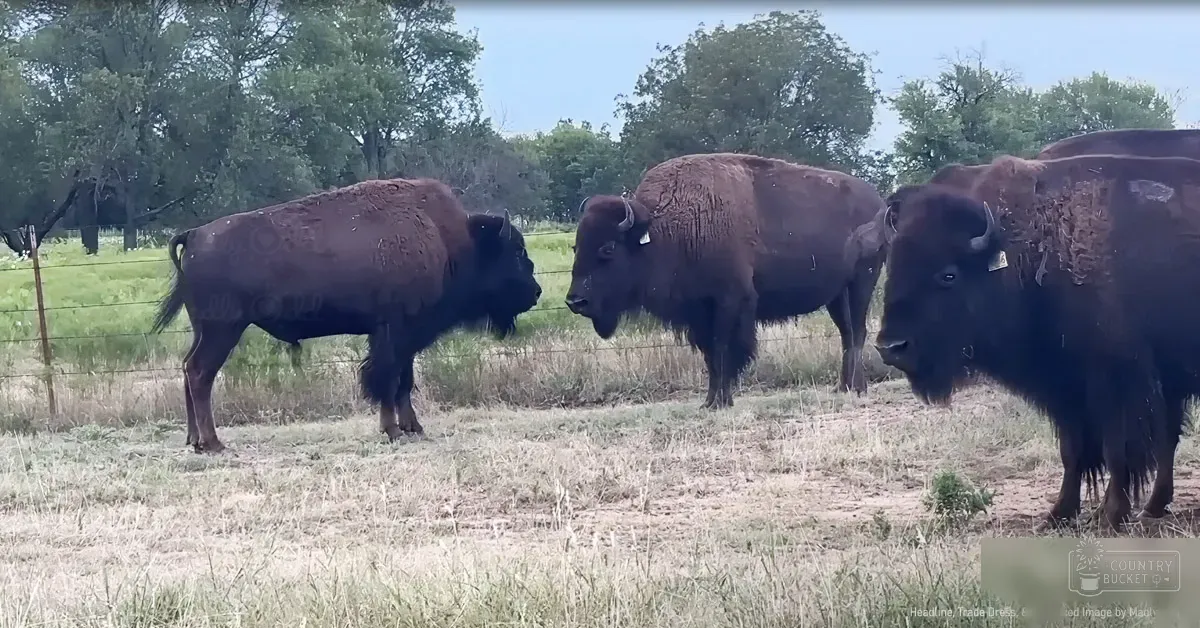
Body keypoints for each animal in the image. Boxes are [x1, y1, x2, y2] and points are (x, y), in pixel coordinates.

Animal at [150, 178, 542, 453]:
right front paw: (393, 430)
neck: (449, 242)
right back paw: (213, 443)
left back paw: (195, 441)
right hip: (223, 329)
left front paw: (413, 427)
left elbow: (404, 381)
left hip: (203, 329)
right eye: (515, 251)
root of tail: (195, 234)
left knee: (187, 369)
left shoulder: (403, 337)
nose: (536, 292)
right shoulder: (394, 332)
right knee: (200, 373)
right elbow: (386, 379)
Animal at [564, 152, 888, 409]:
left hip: (862, 281)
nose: (575, 300)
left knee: (857, 332)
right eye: (576, 247)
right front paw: (710, 402)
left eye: (608, 249)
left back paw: (857, 388)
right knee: (847, 333)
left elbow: (722, 350)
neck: (663, 229)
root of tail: (879, 204)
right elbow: (710, 355)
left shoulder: (728, 302)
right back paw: (844, 387)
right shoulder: (699, 312)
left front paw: (721, 401)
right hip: (837, 295)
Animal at [849, 152, 1200, 530]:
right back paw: (1154, 506)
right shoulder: (1066, 390)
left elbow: (1119, 451)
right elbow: (1073, 452)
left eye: (948, 275)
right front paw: (1058, 514)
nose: (891, 347)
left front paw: (1109, 516)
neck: (1036, 246)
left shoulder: (1119, 385)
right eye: (893, 268)